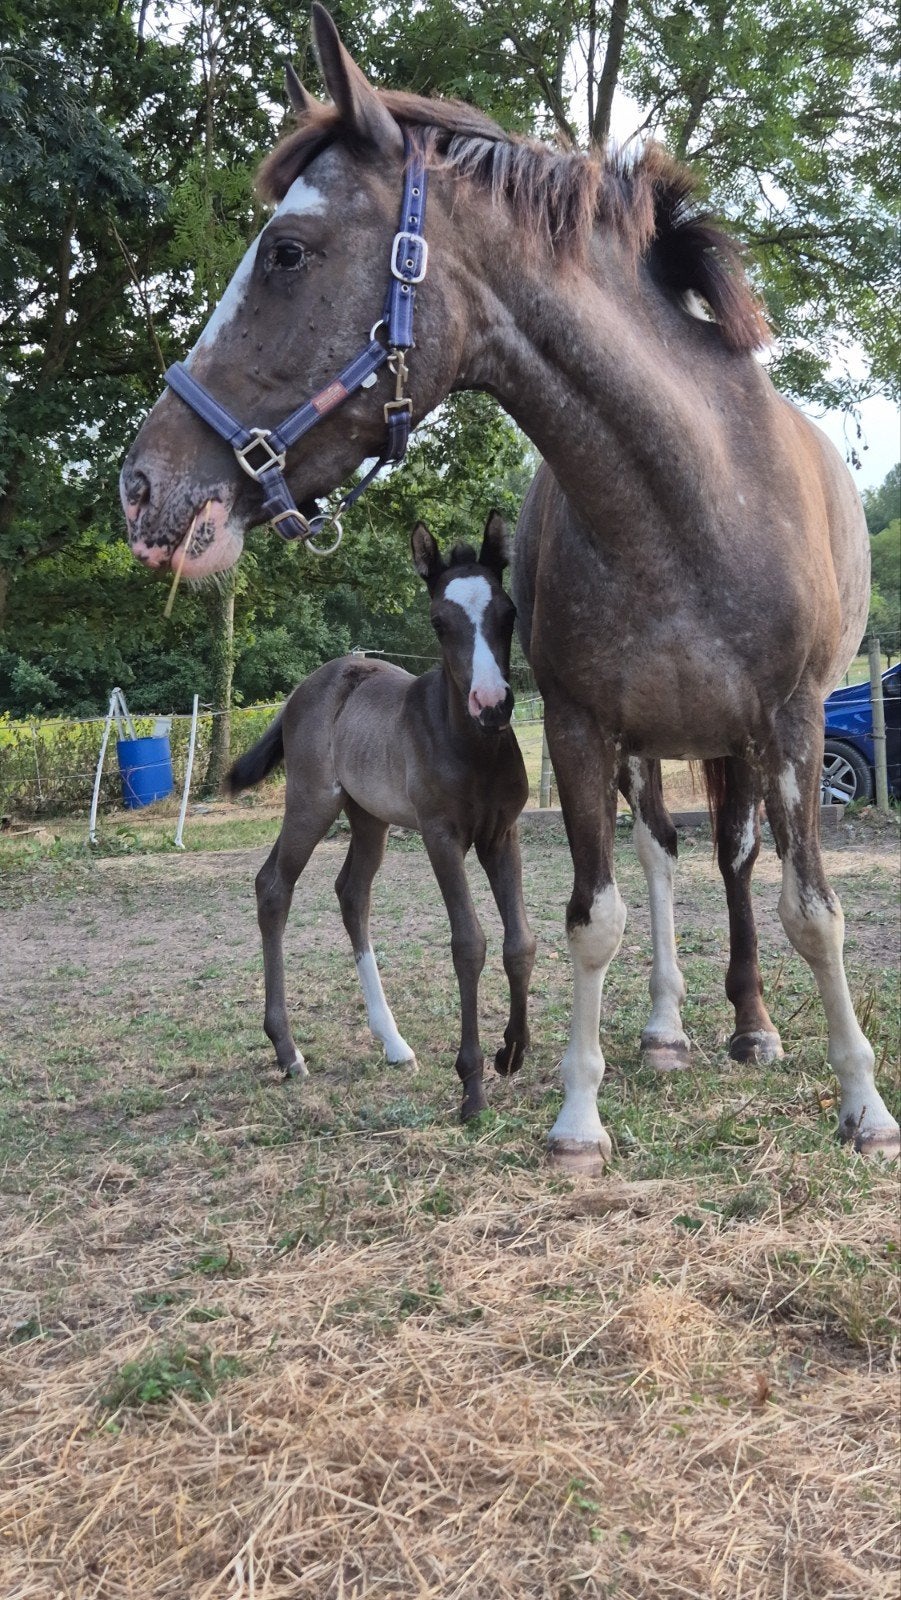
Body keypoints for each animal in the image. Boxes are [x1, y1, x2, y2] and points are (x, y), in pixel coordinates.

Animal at [226, 513, 535, 1122]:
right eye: (438, 622)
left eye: (508, 612)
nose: (493, 704)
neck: (473, 746)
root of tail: (305, 688)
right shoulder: (442, 837)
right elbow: (469, 943)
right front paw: (472, 1087)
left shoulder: (501, 834)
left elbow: (520, 941)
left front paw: (511, 1052)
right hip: (311, 804)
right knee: (273, 886)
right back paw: (288, 1050)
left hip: (368, 818)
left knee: (352, 894)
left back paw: (392, 1042)